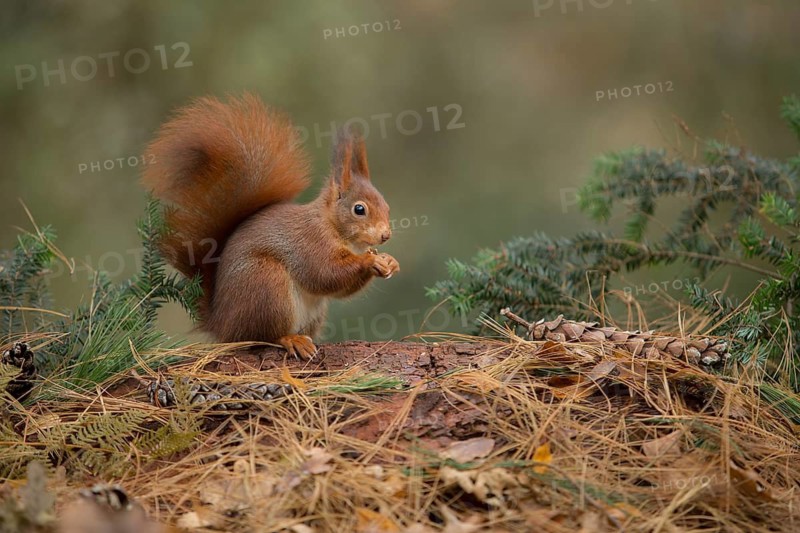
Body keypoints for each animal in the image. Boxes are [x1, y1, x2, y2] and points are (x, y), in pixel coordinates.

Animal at [142, 93, 399, 359]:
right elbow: (323, 273)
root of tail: (222, 324)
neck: (334, 227)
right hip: (267, 284)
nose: (386, 235)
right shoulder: (310, 242)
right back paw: (291, 340)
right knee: (262, 337)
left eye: (387, 207)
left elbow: (339, 290)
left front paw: (389, 262)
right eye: (359, 209)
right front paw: (370, 260)